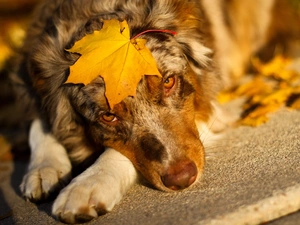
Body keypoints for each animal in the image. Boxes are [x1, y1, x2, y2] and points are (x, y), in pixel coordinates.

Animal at [12, 0, 296, 223]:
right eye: (108, 116)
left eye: (168, 82)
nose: (183, 179)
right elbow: (40, 123)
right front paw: (44, 168)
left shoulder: (209, 108)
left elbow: (113, 153)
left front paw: (87, 184)